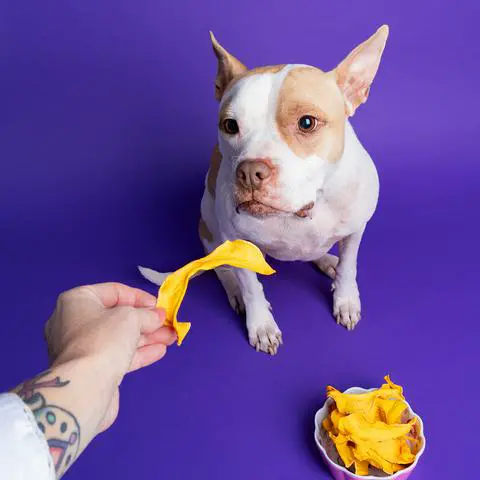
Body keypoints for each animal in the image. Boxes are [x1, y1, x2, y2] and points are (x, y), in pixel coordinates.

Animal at [140, 27, 390, 356]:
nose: (249, 172)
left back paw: (327, 261)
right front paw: (261, 325)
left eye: (307, 122)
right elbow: (252, 288)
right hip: (209, 227)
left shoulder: (355, 230)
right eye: (230, 125)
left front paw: (346, 299)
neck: (301, 213)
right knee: (222, 269)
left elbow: (349, 266)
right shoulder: (236, 240)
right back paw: (234, 290)